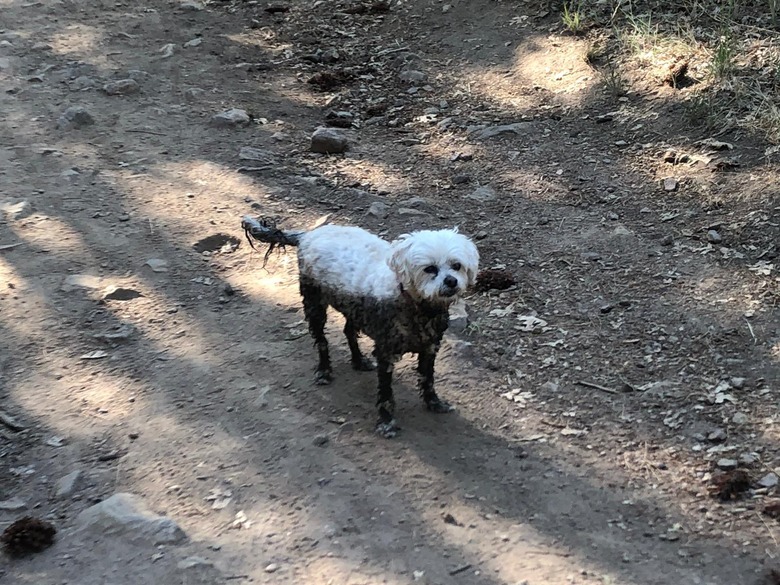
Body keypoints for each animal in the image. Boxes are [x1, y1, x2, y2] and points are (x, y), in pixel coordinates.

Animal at [241, 217, 478, 436]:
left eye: (456, 265)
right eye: (430, 269)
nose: (451, 281)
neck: (414, 304)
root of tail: (308, 234)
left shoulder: (430, 348)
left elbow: (428, 379)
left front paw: (434, 403)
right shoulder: (385, 353)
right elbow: (385, 392)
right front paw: (386, 422)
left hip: (353, 308)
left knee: (348, 332)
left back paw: (358, 361)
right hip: (314, 303)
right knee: (321, 341)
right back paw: (324, 371)